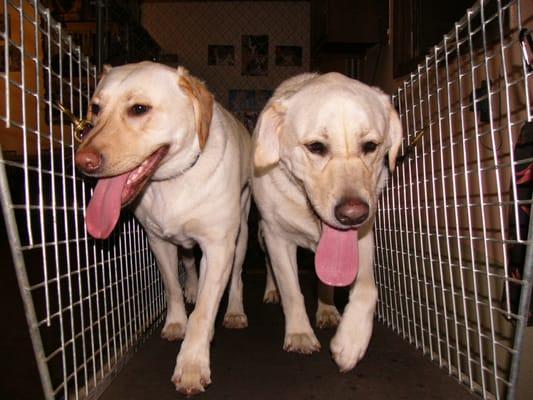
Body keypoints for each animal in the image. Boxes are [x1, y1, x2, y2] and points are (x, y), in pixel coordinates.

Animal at [74, 61, 252, 394]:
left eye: (139, 109)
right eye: (95, 108)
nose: (82, 162)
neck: (173, 178)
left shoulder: (219, 247)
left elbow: (205, 311)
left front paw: (192, 363)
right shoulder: (158, 241)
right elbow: (172, 286)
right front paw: (177, 322)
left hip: (242, 235)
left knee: (235, 278)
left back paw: (234, 310)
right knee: (190, 264)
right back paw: (193, 288)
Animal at [251, 72, 402, 372]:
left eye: (371, 146)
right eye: (316, 147)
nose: (353, 214)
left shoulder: (363, 236)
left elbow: (366, 288)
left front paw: (351, 340)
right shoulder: (277, 237)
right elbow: (291, 289)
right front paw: (299, 334)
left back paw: (328, 310)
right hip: (262, 236)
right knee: (271, 269)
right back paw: (272, 291)